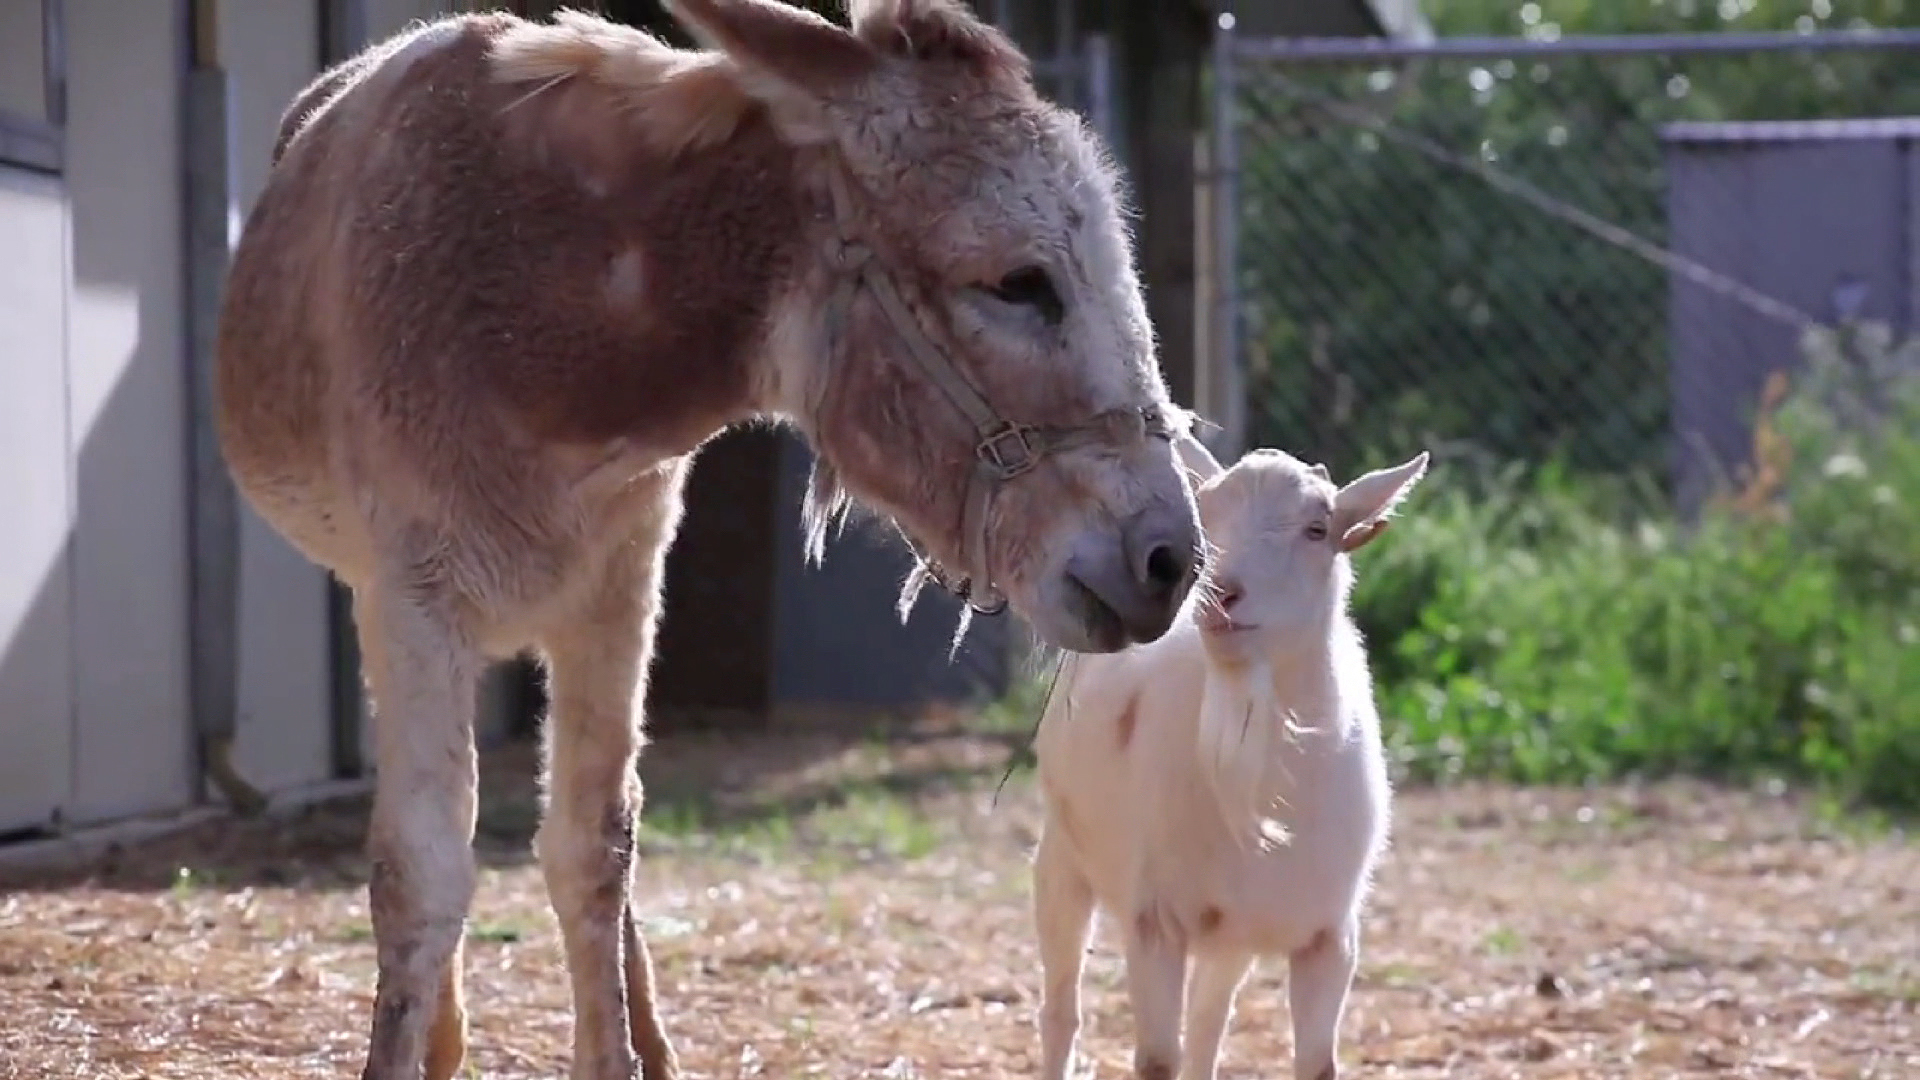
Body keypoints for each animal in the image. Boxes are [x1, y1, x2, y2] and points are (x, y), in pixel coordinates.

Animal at [1036, 438, 1428, 1076]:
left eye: (1318, 528)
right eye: (1208, 517)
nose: (1218, 594)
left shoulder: (1330, 937)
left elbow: (1314, 1063)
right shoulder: (1155, 921)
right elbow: (1157, 1059)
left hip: (1233, 933)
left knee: (1209, 1022)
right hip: (1062, 856)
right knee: (1061, 1009)